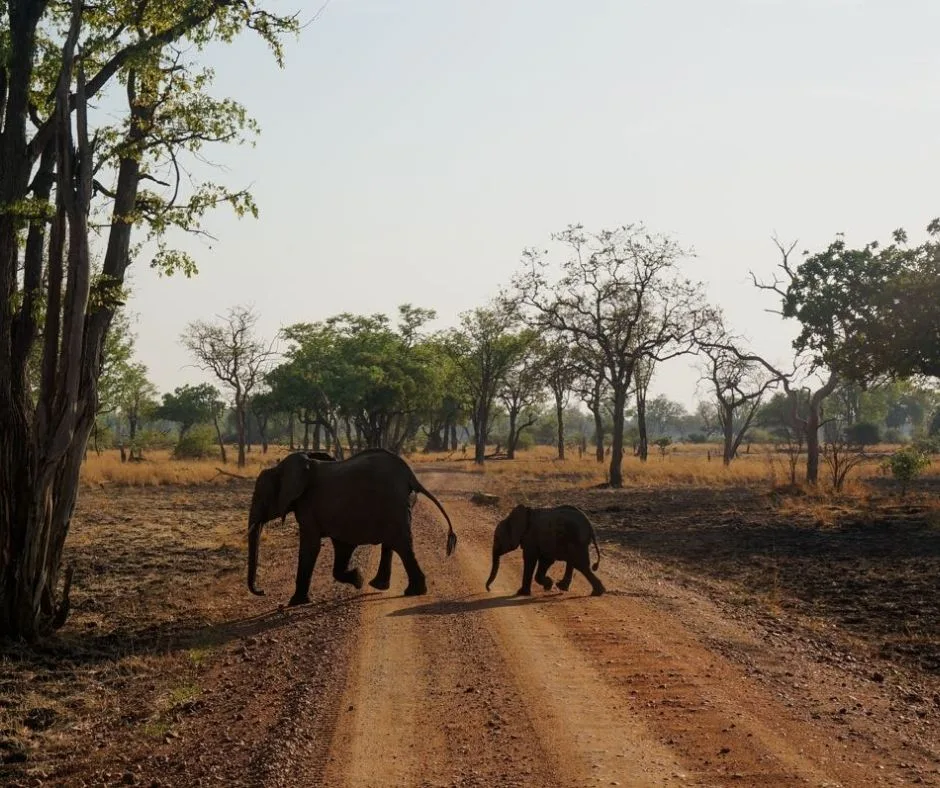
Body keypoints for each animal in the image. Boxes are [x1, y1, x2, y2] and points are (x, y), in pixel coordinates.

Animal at [248, 448, 457, 605]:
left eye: (260, 498)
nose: (262, 591)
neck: (280, 468)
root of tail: (410, 476)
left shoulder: (307, 507)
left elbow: (310, 547)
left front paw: (295, 602)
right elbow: (341, 547)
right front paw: (358, 579)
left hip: (392, 503)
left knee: (401, 544)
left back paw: (413, 591)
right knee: (393, 543)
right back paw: (380, 585)